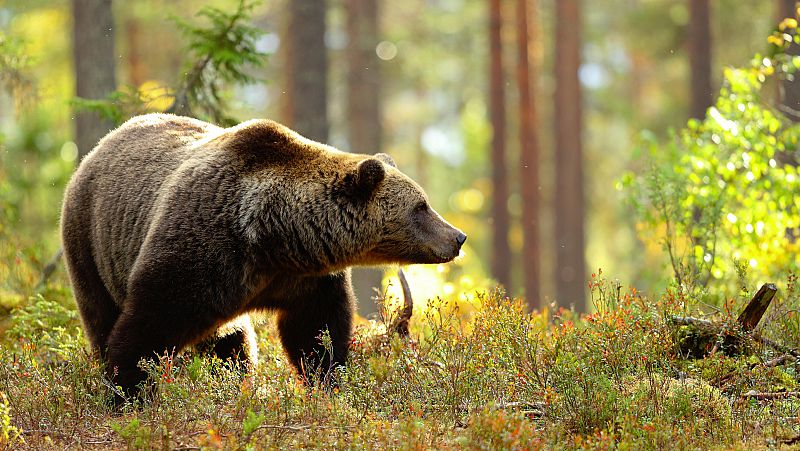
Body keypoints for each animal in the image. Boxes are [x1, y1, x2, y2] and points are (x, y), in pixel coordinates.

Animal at [62, 114, 466, 400]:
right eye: (420, 206)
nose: (458, 237)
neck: (273, 237)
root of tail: (98, 147)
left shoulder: (304, 279)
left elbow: (314, 332)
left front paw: (328, 381)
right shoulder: (201, 249)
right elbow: (149, 322)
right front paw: (128, 391)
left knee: (230, 342)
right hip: (90, 242)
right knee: (101, 313)